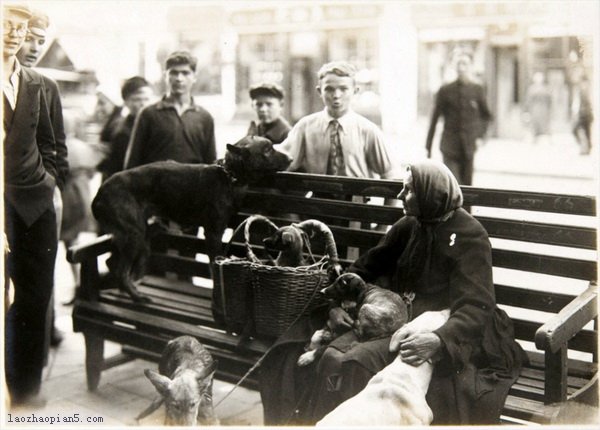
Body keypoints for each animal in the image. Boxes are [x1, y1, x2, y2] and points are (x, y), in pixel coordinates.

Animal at [91, 135, 292, 302]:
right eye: (267, 149)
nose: (291, 159)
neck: (229, 175)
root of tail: (99, 194)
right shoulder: (213, 233)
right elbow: (213, 265)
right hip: (135, 235)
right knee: (120, 271)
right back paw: (137, 297)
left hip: (139, 237)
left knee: (112, 263)